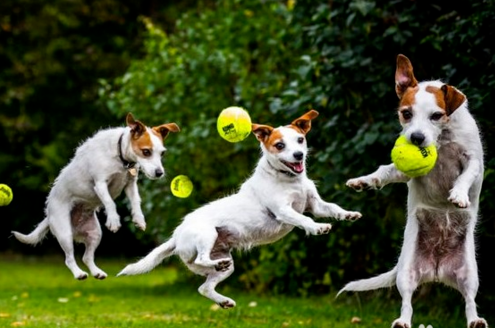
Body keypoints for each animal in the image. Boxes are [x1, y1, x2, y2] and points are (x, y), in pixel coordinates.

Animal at [11, 113, 180, 280]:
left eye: (162, 153)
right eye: (146, 151)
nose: (159, 173)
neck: (122, 160)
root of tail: (49, 215)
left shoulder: (130, 184)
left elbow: (135, 202)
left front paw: (139, 220)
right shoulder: (100, 184)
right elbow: (110, 202)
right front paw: (114, 220)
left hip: (95, 234)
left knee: (87, 257)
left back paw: (97, 273)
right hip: (65, 233)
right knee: (69, 258)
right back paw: (79, 274)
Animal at [118, 109, 362, 308]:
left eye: (300, 140)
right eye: (280, 145)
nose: (298, 155)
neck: (290, 180)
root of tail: (176, 237)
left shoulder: (316, 204)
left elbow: (333, 208)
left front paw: (349, 214)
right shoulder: (284, 211)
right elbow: (305, 220)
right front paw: (317, 228)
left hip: (225, 266)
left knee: (204, 287)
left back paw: (223, 300)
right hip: (207, 235)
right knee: (201, 259)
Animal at [338, 54, 488, 328]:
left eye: (436, 115)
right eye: (406, 113)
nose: (416, 138)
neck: (443, 138)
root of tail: (437, 270)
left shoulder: (473, 160)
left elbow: (465, 175)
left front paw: (459, 194)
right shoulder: (404, 172)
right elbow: (385, 172)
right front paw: (364, 181)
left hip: (470, 275)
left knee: (470, 301)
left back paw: (476, 321)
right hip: (406, 272)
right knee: (407, 301)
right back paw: (402, 322)